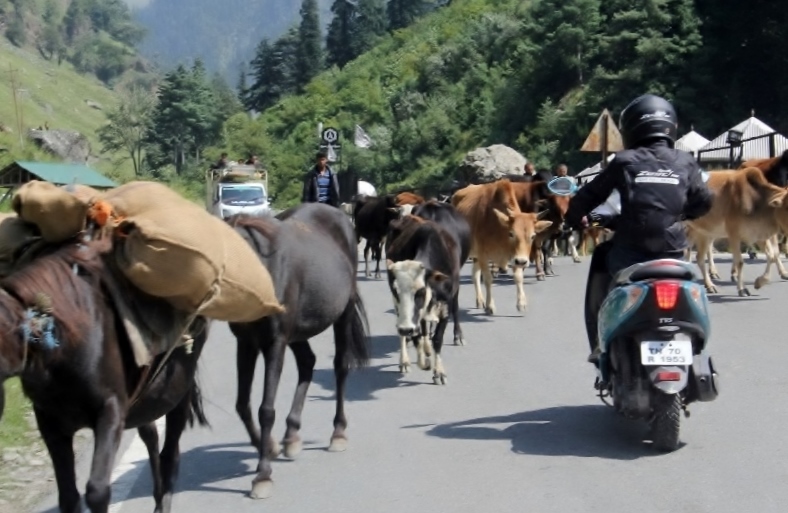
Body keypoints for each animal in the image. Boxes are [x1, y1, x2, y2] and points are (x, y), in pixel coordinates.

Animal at [0, 239, 209, 512]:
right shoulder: (50, 422)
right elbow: (68, 497)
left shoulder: (110, 411)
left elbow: (98, 491)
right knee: (151, 437)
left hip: (177, 392)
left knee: (169, 454)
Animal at [222, 201, 370, 500]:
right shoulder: (246, 343)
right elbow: (242, 404)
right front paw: (269, 446)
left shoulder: (275, 342)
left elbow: (266, 409)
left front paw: (262, 475)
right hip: (298, 333)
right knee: (307, 362)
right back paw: (291, 435)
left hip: (343, 314)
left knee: (340, 367)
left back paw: (338, 433)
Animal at [450, 180, 556, 316]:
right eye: (511, 233)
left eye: (533, 236)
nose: (523, 261)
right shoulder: (483, 255)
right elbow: (488, 279)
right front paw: (490, 306)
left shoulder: (515, 256)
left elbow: (518, 277)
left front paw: (521, 304)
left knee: (475, 274)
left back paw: (480, 300)